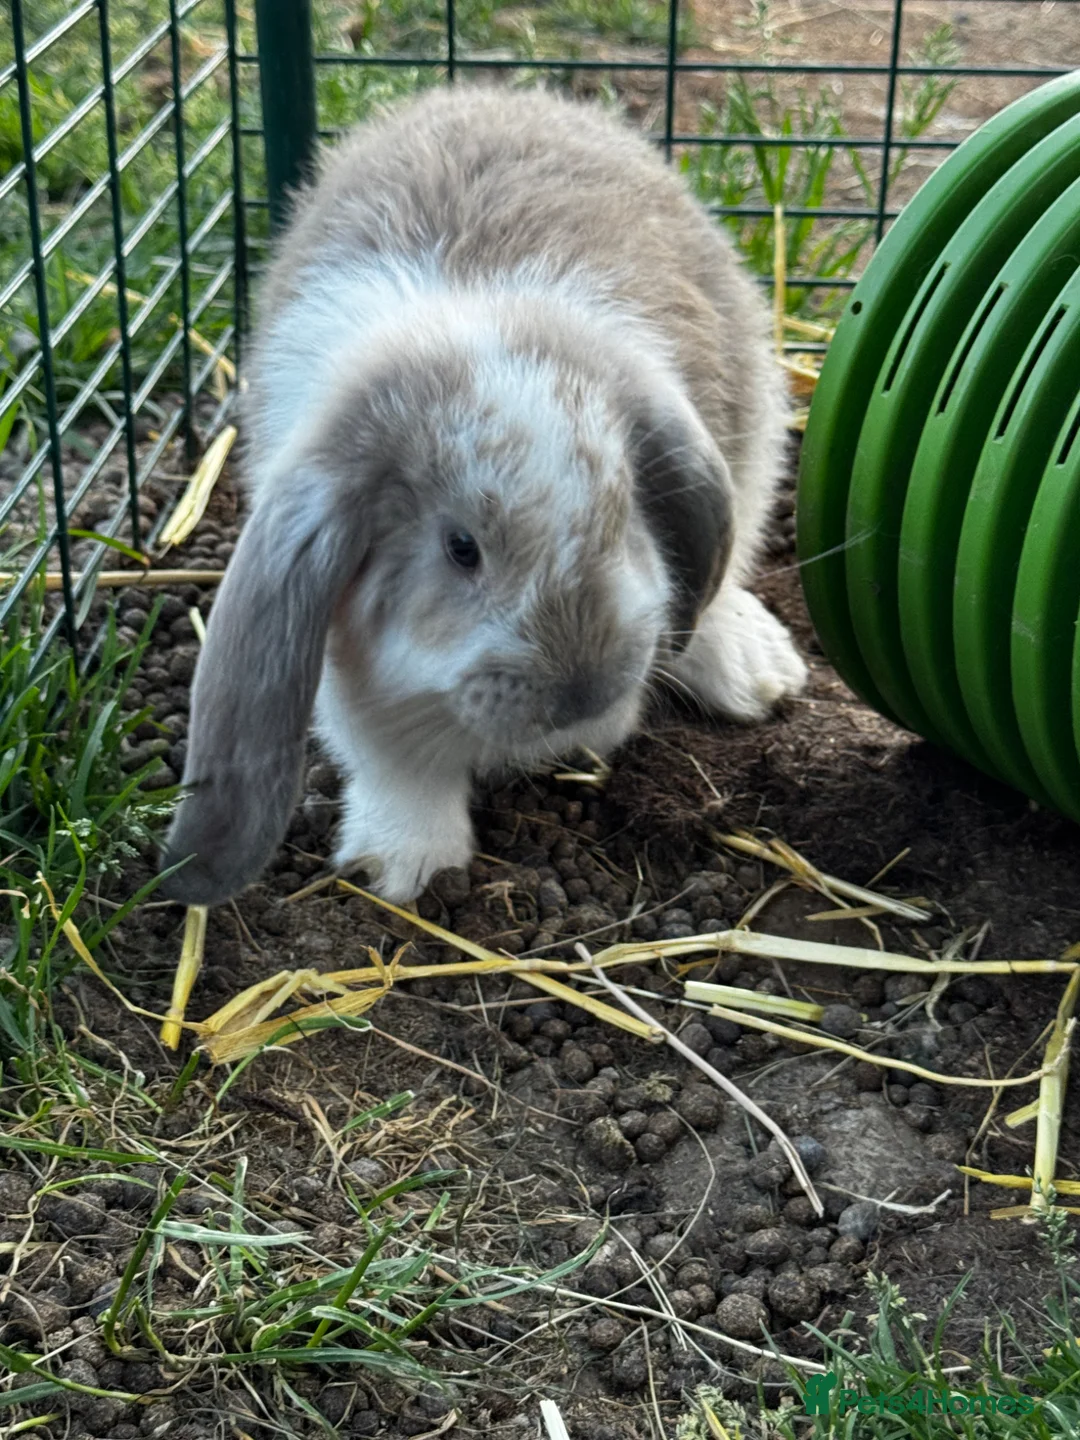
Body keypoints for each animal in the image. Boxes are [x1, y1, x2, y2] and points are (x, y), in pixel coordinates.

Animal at [160, 84, 807, 907]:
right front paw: (404, 869)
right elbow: (397, 762)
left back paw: (759, 674)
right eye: (460, 547)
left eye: (623, 513)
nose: (583, 693)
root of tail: (496, 91)